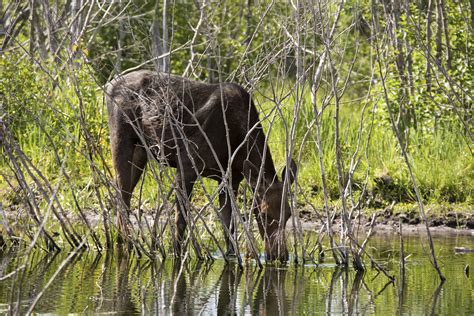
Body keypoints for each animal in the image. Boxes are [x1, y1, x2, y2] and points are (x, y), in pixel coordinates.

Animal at [106, 69, 296, 262]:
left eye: (289, 213)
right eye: (264, 213)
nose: (280, 255)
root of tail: (109, 85)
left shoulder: (230, 179)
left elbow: (229, 224)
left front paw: (231, 255)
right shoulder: (186, 164)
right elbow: (181, 219)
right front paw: (177, 253)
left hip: (140, 151)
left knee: (124, 197)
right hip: (121, 139)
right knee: (121, 196)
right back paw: (126, 245)